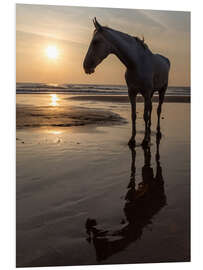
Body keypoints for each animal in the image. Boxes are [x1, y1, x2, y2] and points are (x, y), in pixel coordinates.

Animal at [83, 18, 170, 147]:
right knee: (150, 108)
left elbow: (144, 115)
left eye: (95, 41)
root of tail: (166, 60)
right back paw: (149, 130)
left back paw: (157, 133)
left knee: (158, 110)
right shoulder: (132, 92)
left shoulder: (145, 92)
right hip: (151, 93)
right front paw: (132, 140)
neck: (136, 63)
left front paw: (145, 141)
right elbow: (134, 115)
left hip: (162, 90)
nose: (85, 66)